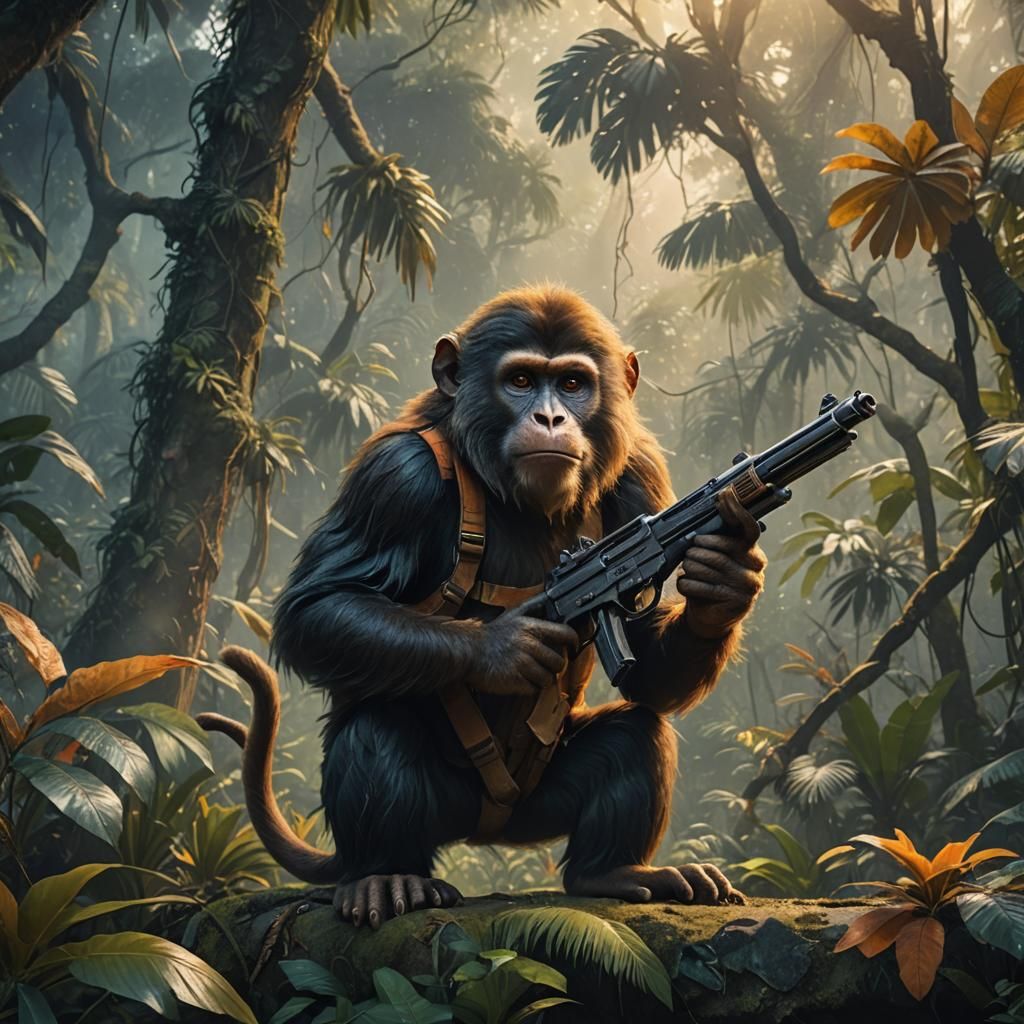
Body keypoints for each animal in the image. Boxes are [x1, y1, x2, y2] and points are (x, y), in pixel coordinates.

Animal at [200, 285, 767, 930]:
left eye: (573, 383)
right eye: (520, 380)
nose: (551, 417)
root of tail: (488, 830)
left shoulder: (641, 475)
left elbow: (644, 659)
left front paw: (724, 580)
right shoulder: (394, 477)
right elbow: (317, 604)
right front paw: (504, 649)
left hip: (539, 808)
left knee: (636, 732)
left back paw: (617, 872)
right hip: (437, 808)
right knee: (374, 727)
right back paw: (383, 877)